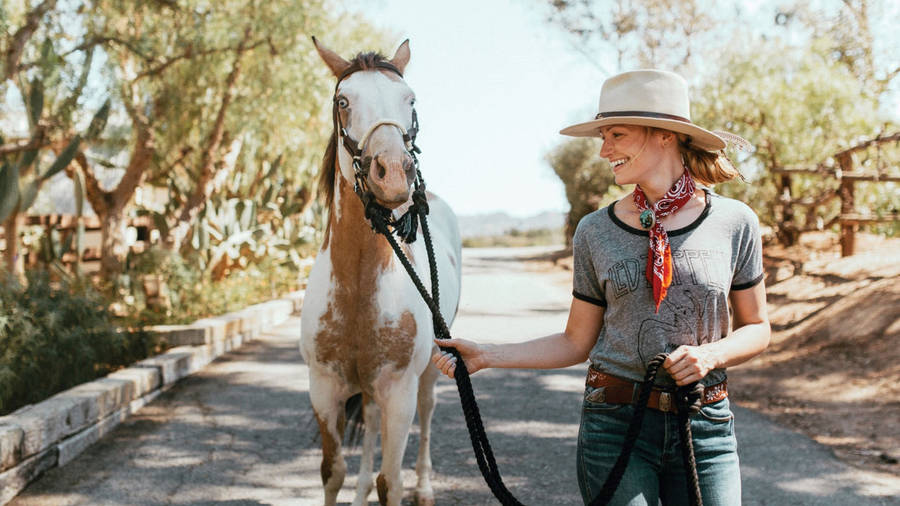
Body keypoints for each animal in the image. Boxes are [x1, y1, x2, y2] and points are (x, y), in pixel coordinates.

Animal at [302, 39, 464, 506]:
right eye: (343, 101)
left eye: (410, 100)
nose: (393, 173)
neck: (358, 286)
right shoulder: (324, 389)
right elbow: (333, 472)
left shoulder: (398, 392)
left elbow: (390, 481)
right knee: (371, 425)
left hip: (431, 369)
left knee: (428, 413)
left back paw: (425, 487)